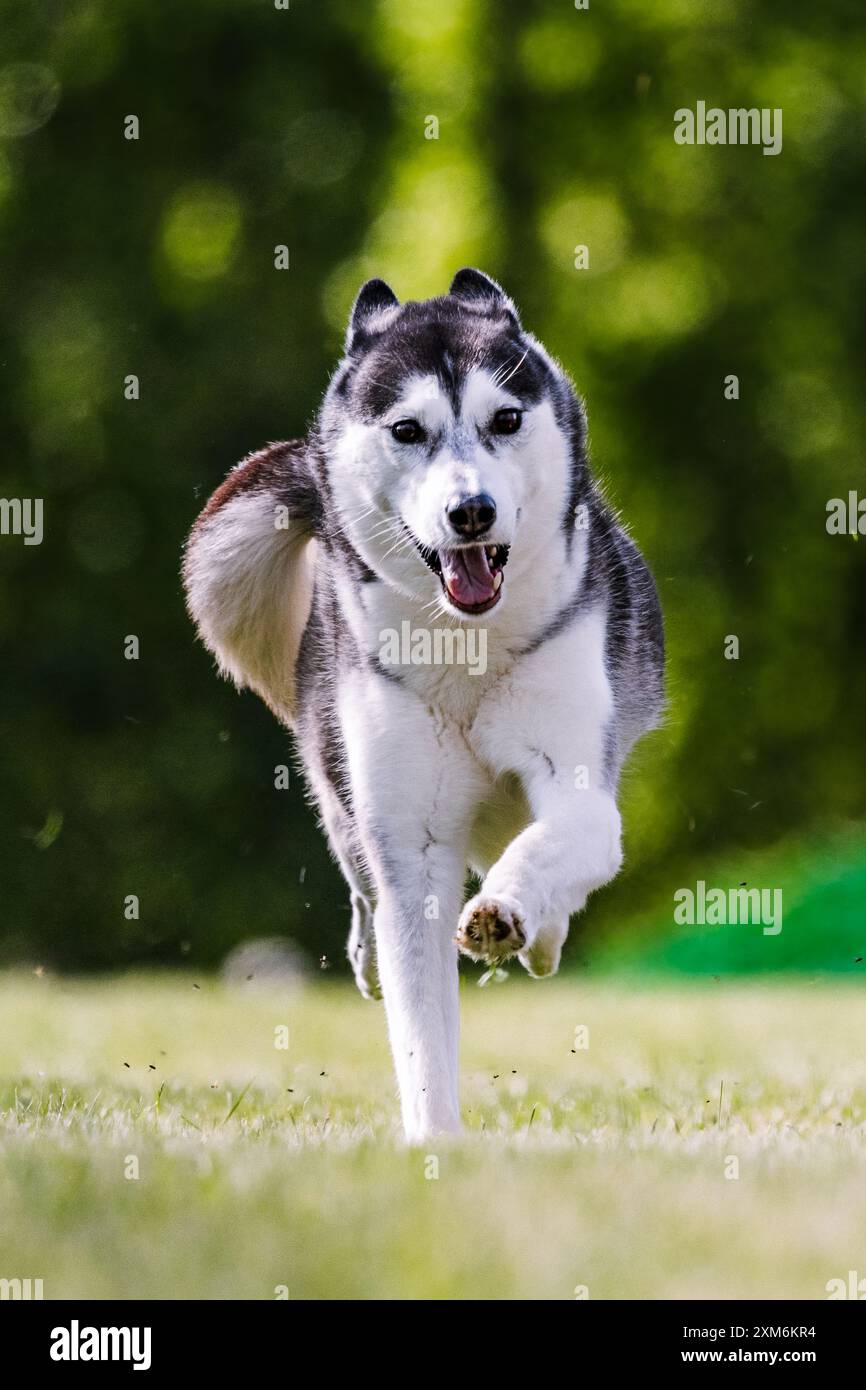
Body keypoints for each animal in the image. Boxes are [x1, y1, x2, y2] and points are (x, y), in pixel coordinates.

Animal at [184, 268, 664, 1139]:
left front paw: (509, 909)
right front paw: (434, 1141)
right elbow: (419, 1022)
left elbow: (562, 839)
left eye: (504, 419)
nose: (470, 512)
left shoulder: (578, 779)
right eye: (408, 430)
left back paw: (539, 935)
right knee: (365, 892)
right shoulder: (411, 838)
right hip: (340, 784)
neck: (464, 652)